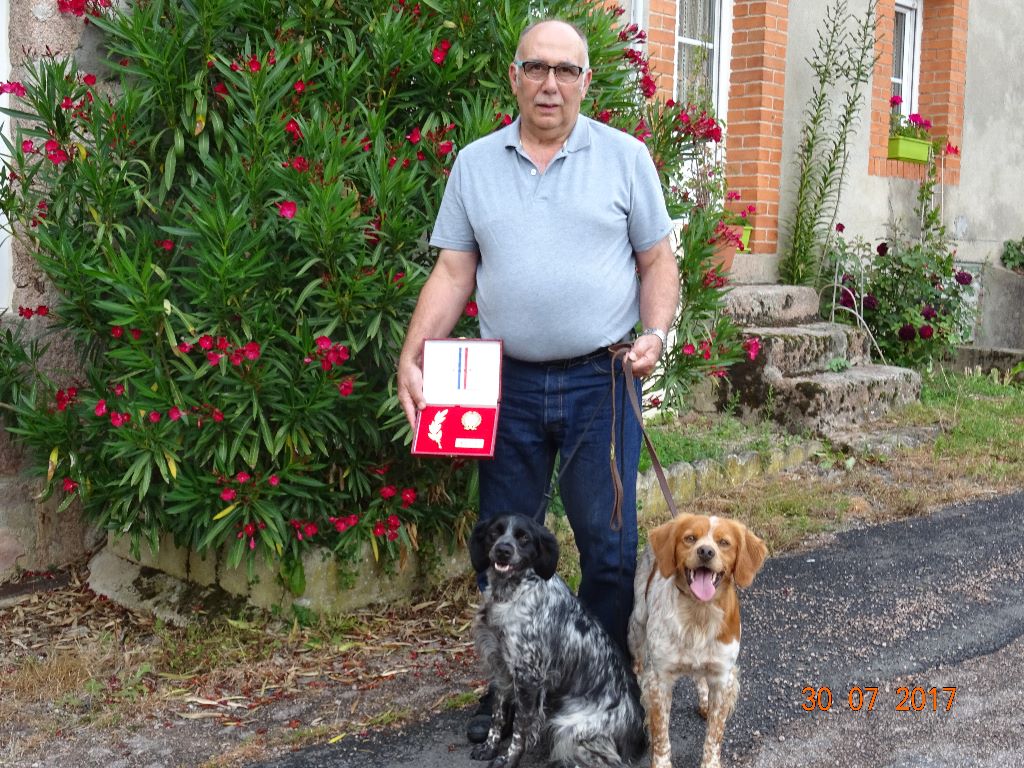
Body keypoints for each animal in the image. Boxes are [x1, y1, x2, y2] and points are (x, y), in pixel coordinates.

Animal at [468, 514, 643, 768]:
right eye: (494, 533)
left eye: (524, 538)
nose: (503, 551)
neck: (511, 593)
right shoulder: (501, 667)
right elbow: (497, 715)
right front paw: (489, 747)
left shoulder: (528, 677)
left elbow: (520, 729)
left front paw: (508, 759)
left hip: (569, 728)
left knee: (608, 762)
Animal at [622, 514, 770, 768]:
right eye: (690, 538)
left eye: (724, 542)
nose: (706, 552)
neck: (699, 615)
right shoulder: (659, 680)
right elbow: (661, 735)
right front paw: (661, 762)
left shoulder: (723, 678)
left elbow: (714, 735)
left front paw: (710, 762)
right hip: (637, 624)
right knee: (639, 664)